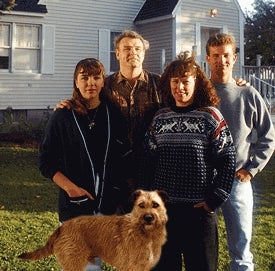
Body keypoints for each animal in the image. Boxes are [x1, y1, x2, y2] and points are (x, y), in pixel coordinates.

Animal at [18, 190, 169, 271]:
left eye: (155, 205)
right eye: (141, 205)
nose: (148, 218)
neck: (145, 233)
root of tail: (62, 227)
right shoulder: (129, 267)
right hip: (74, 263)